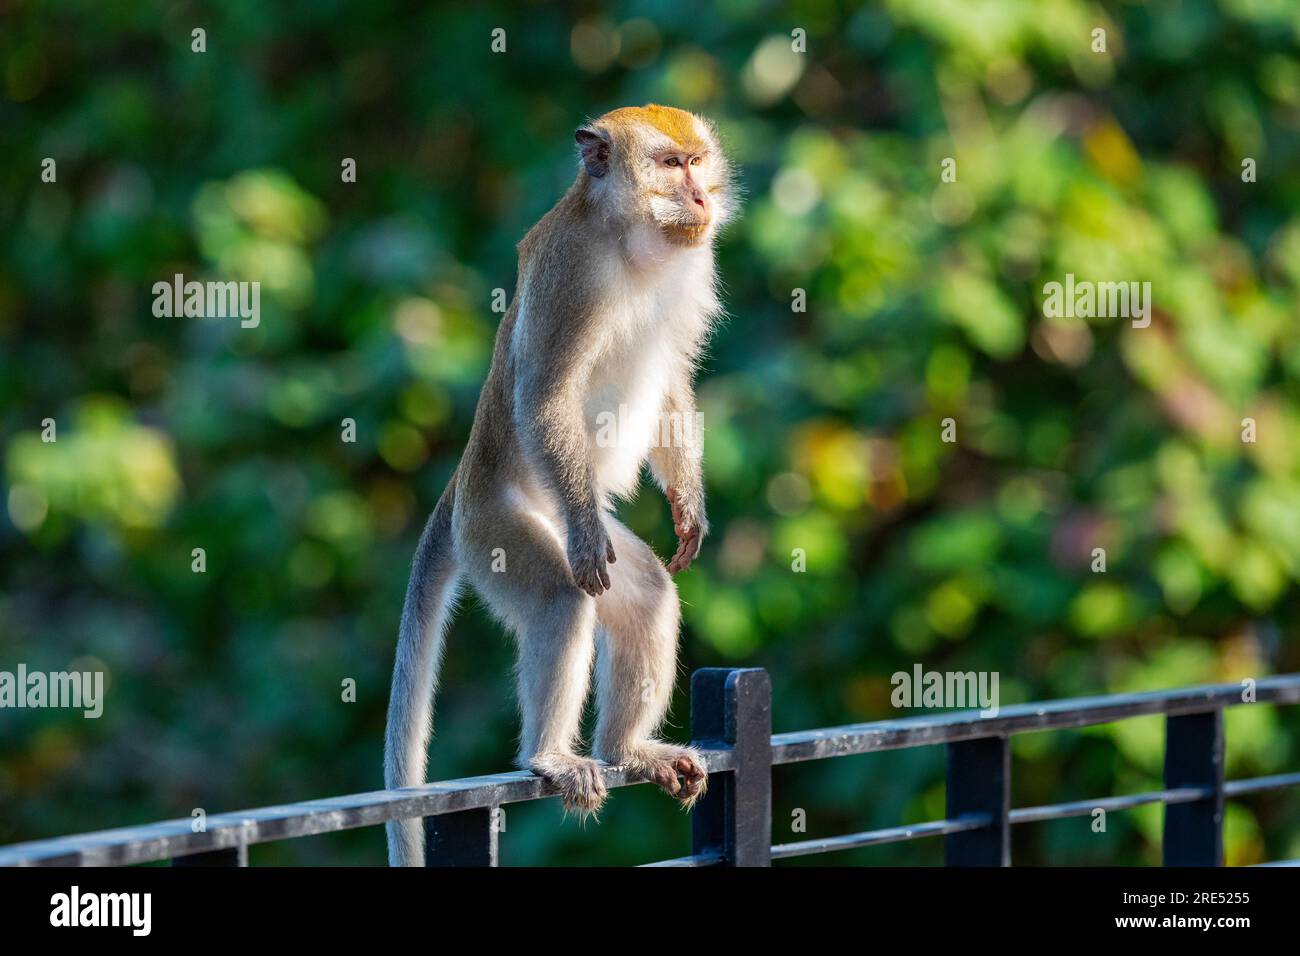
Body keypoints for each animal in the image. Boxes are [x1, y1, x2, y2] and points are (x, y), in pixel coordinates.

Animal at [379, 104, 738, 868]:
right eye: (671, 166)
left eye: (698, 162)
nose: (701, 198)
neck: (629, 239)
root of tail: (461, 487)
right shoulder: (570, 273)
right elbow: (546, 395)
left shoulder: (695, 264)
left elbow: (670, 378)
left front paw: (688, 506)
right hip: (501, 530)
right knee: (560, 594)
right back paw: (549, 756)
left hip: (575, 538)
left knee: (644, 595)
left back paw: (629, 750)